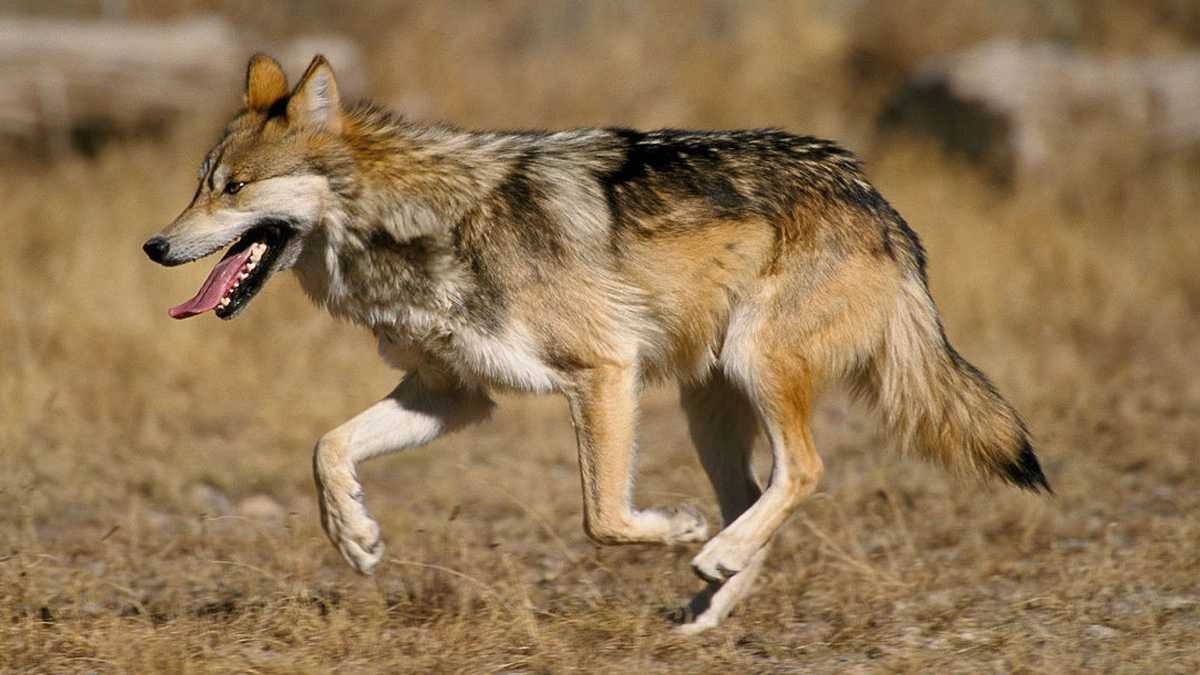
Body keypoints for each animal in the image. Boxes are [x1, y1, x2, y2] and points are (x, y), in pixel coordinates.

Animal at [143, 54, 1049, 633]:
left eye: (234, 188)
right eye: (199, 185)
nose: (154, 246)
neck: (416, 224)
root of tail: (875, 197)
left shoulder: (603, 371)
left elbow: (603, 518)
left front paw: (674, 528)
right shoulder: (453, 395)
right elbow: (327, 447)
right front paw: (356, 537)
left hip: (752, 369)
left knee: (803, 471)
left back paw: (710, 553)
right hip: (707, 406)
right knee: (758, 494)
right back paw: (708, 603)